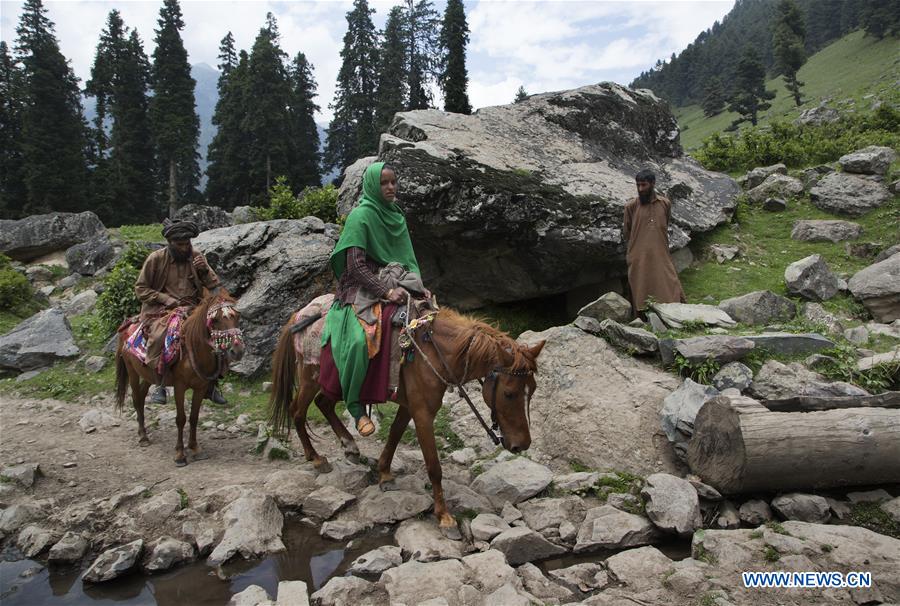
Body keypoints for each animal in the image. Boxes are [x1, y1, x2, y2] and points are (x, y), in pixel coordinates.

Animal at [114, 292, 244, 468]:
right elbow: (181, 419)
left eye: (237, 316)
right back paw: (143, 437)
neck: (193, 349)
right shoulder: (179, 386)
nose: (238, 351)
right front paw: (180, 454)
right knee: (135, 398)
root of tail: (127, 325)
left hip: (148, 374)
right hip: (132, 370)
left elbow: (194, 417)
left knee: (141, 396)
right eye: (215, 320)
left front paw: (195, 448)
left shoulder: (200, 387)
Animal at [270, 308, 544, 532]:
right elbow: (434, 466)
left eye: (533, 389)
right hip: (310, 377)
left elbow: (394, 435)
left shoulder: (409, 406)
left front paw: (384, 474)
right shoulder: (422, 413)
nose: (522, 445)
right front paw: (445, 517)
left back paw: (350, 446)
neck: (435, 353)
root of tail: (299, 315)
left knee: (323, 404)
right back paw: (316, 458)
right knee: (297, 411)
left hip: (331, 381)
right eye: (509, 393)